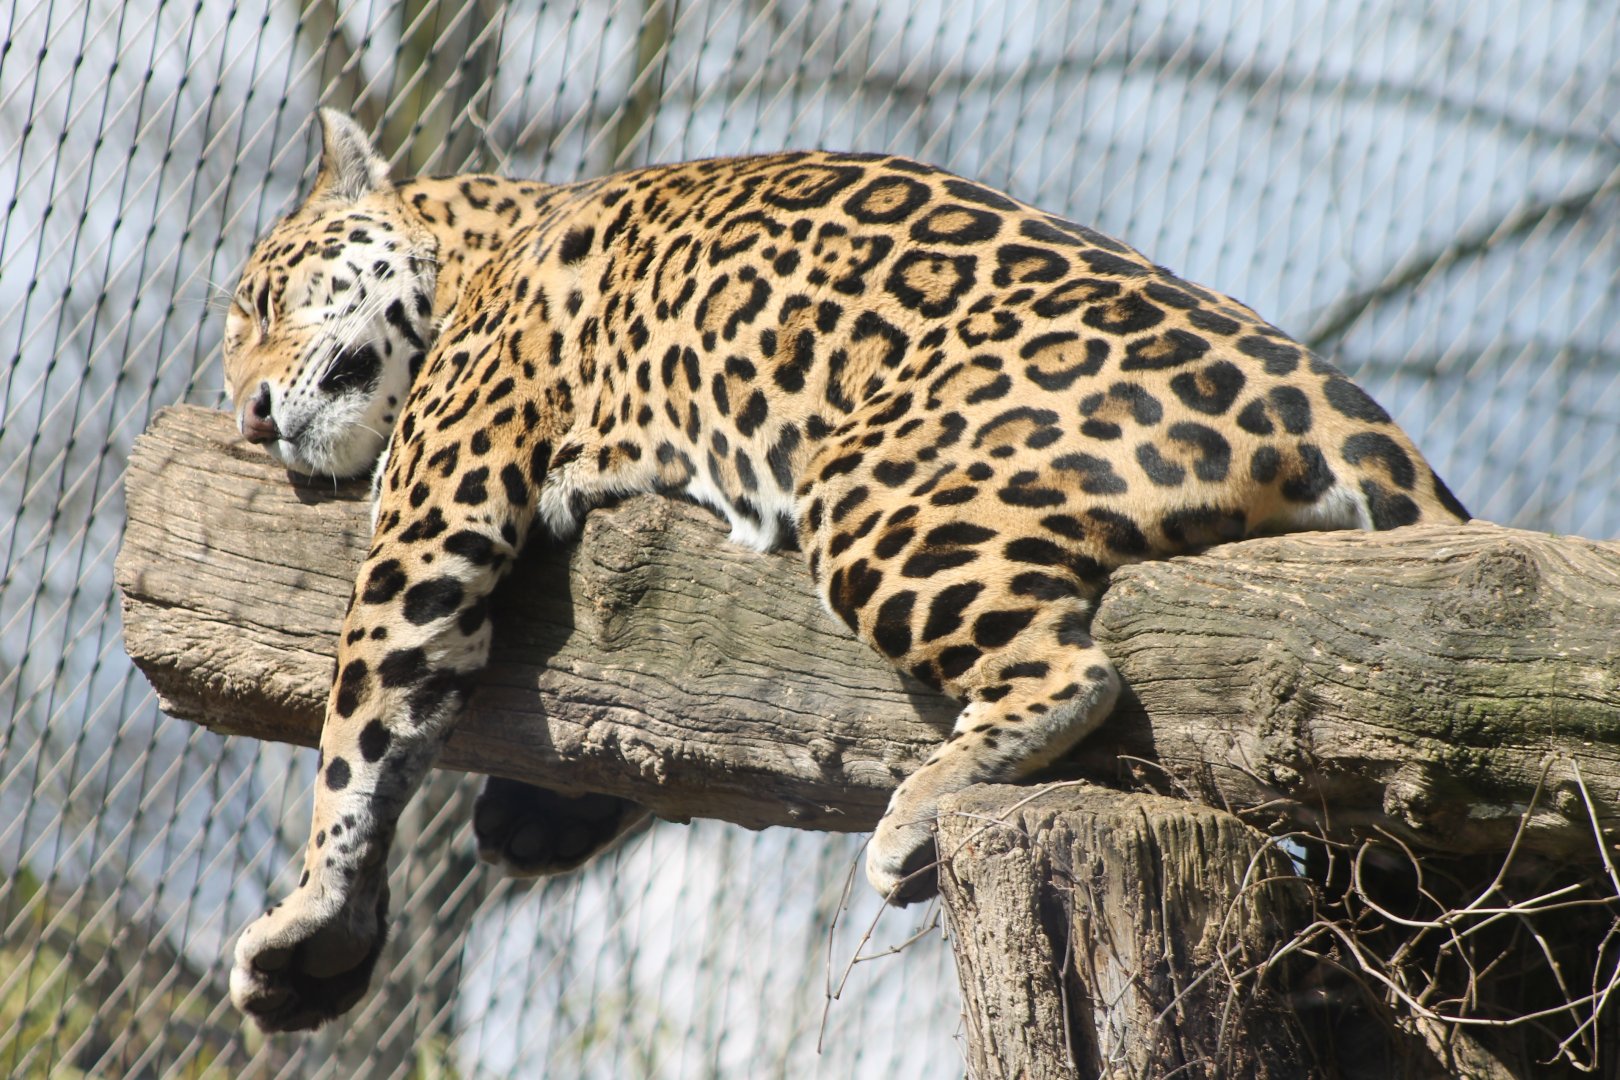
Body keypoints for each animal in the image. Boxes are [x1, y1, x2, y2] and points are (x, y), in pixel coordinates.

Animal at [221, 109, 1470, 1031]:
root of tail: (1326, 394)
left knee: (1076, 674)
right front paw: (528, 827)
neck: (486, 232)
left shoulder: (438, 509)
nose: (248, 416)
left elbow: (363, 717)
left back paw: (919, 816)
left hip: (871, 494)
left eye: (265, 302)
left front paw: (312, 918)